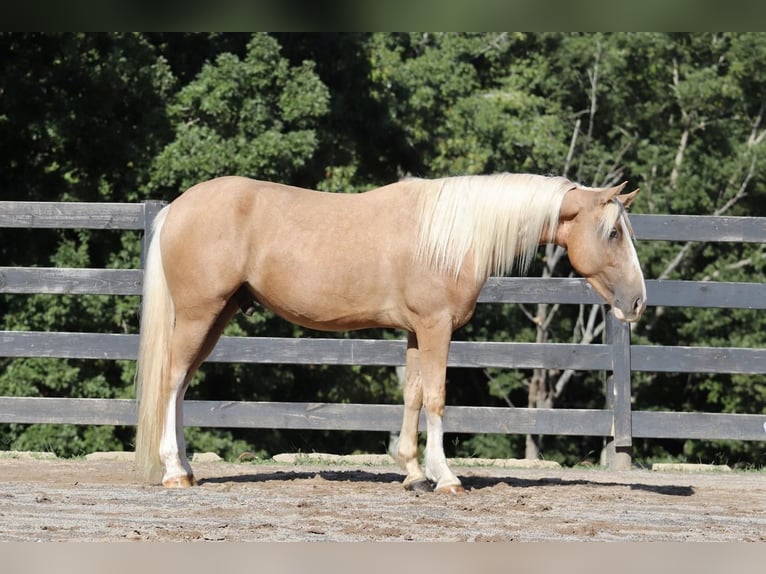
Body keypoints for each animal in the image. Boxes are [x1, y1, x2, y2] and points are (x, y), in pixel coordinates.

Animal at [135, 173, 644, 492]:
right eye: (613, 232)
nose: (637, 301)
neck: (450, 235)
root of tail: (177, 208)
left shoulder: (417, 331)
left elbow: (414, 395)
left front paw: (414, 473)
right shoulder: (436, 327)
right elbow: (436, 397)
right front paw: (446, 478)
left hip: (215, 317)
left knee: (182, 385)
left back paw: (187, 469)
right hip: (200, 314)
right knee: (171, 381)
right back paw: (174, 472)